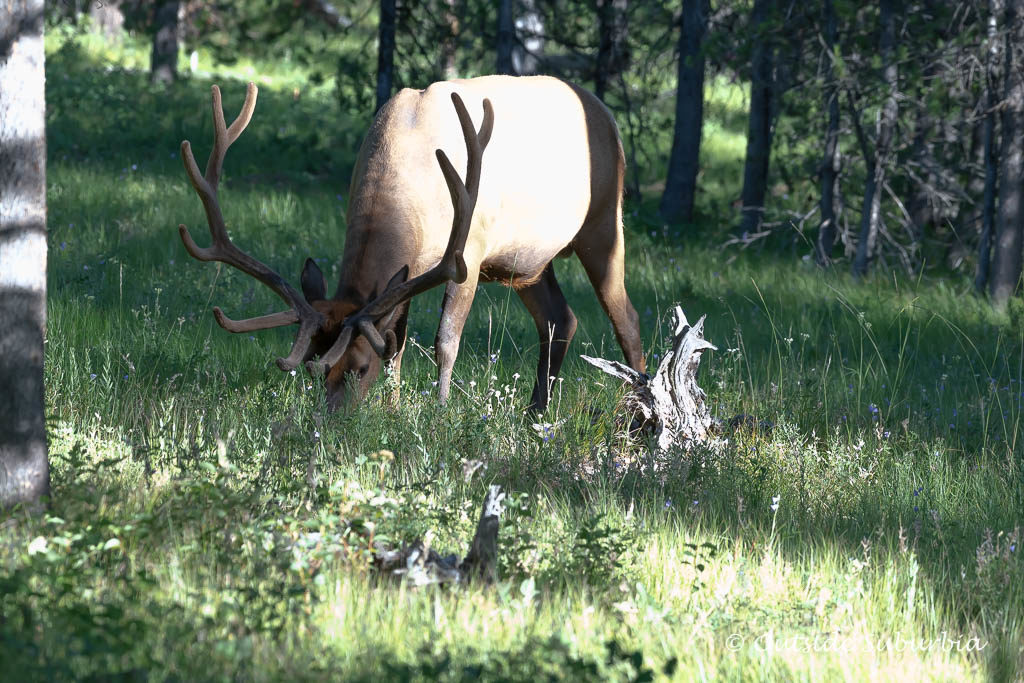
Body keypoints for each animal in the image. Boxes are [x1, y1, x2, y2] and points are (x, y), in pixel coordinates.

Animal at [176, 78, 638, 413]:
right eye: (315, 371)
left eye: (360, 368)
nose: (329, 419)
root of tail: (606, 114)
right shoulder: (410, 272)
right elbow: (396, 342)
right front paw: (393, 408)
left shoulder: (468, 250)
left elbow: (445, 340)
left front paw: (439, 411)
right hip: (526, 264)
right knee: (561, 318)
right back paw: (536, 413)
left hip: (603, 222)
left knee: (627, 320)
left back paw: (642, 416)